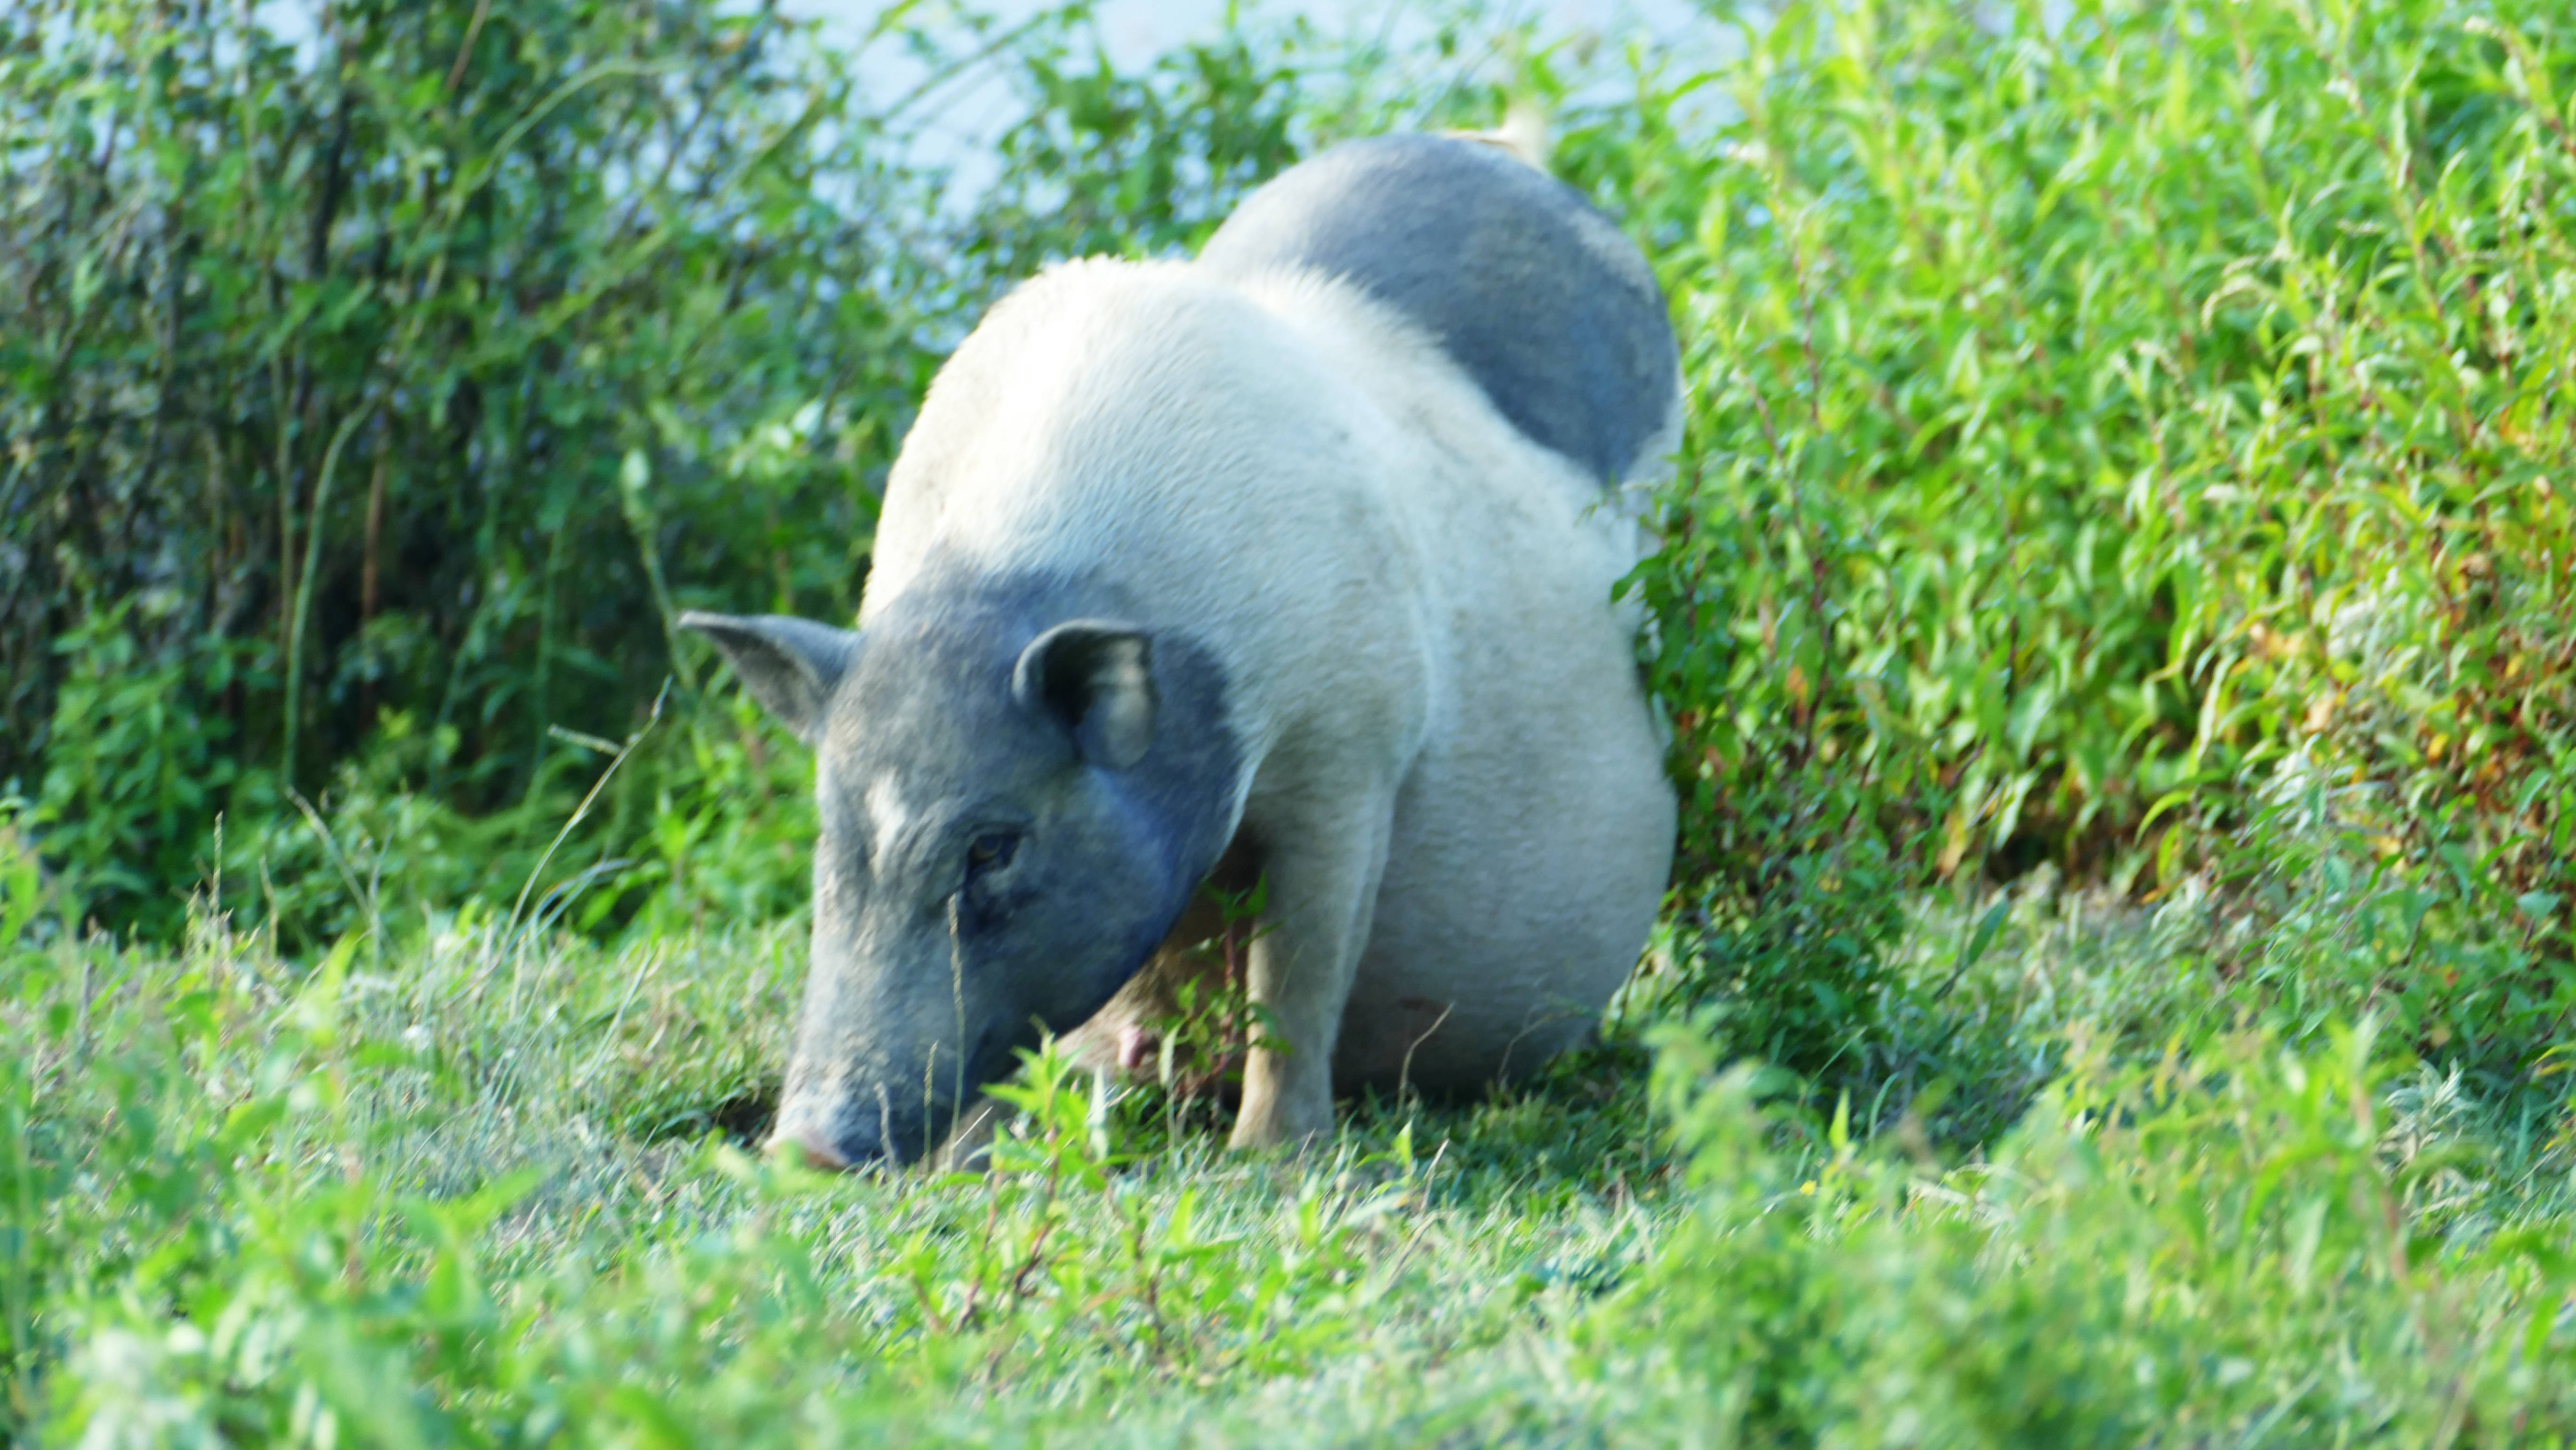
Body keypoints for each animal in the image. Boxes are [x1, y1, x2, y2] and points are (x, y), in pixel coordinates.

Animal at [685, 133, 1679, 1169]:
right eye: (833, 827)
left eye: (993, 845)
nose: (806, 1146)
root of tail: (1508, 154)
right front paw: (973, 1169)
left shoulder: (1355, 742)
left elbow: (1299, 971)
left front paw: (1271, 1165)